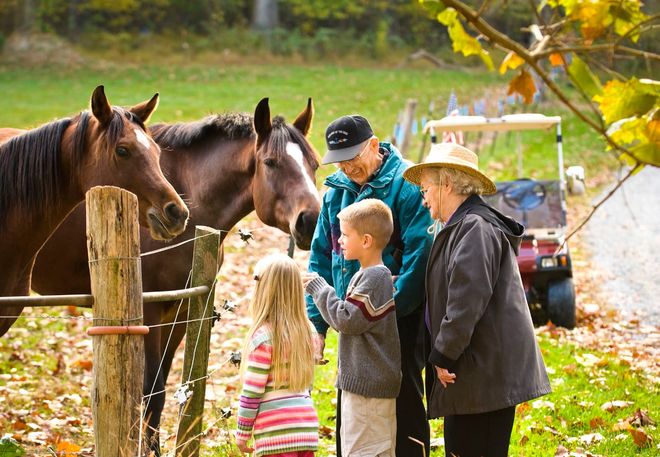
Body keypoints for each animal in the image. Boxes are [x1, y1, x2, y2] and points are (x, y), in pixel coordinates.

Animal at [31, 97, 321, 455]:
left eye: (315, 165)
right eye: (271, 162)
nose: (311, 219)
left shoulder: (181, 312)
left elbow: (164, 392)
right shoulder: (149, 313)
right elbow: (151, 391)